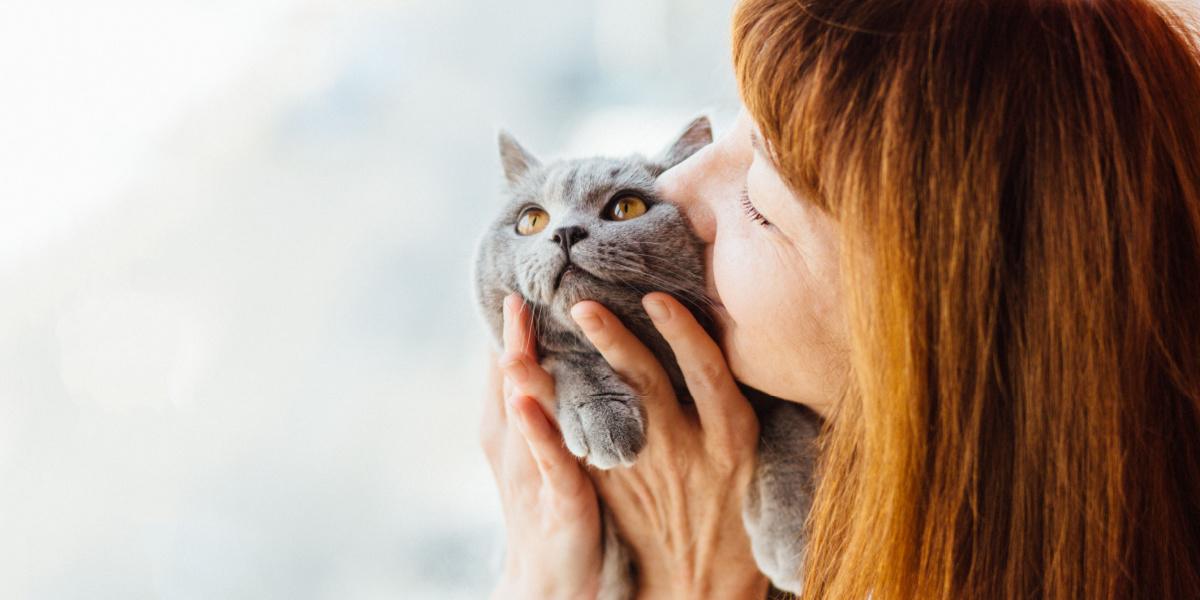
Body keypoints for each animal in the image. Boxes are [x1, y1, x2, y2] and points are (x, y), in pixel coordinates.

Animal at [472, 115, 820, 595]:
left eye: (627, 207)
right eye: (532, 219)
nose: (564, 232)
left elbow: (786, 418)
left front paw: (789, 537)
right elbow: (565, 354)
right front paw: (602, 416)